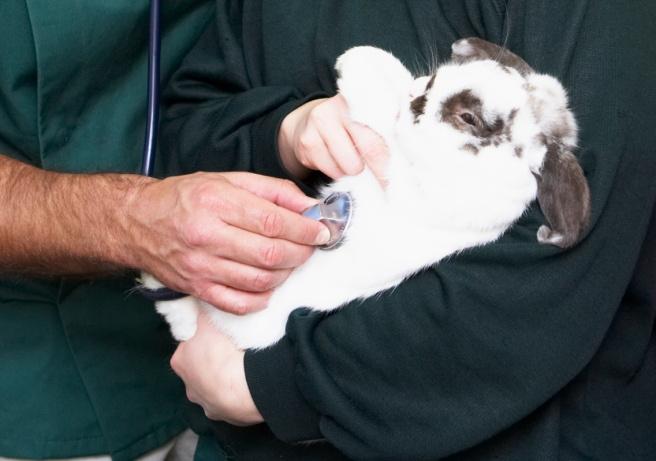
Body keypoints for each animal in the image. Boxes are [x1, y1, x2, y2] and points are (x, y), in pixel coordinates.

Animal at [142, 37, 588, 348]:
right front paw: (361, 61)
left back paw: (182, 327)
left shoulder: (415, 182)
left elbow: (389, 122)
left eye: (469, 117)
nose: (421, 97)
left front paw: (356, 66)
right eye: (438, 79)